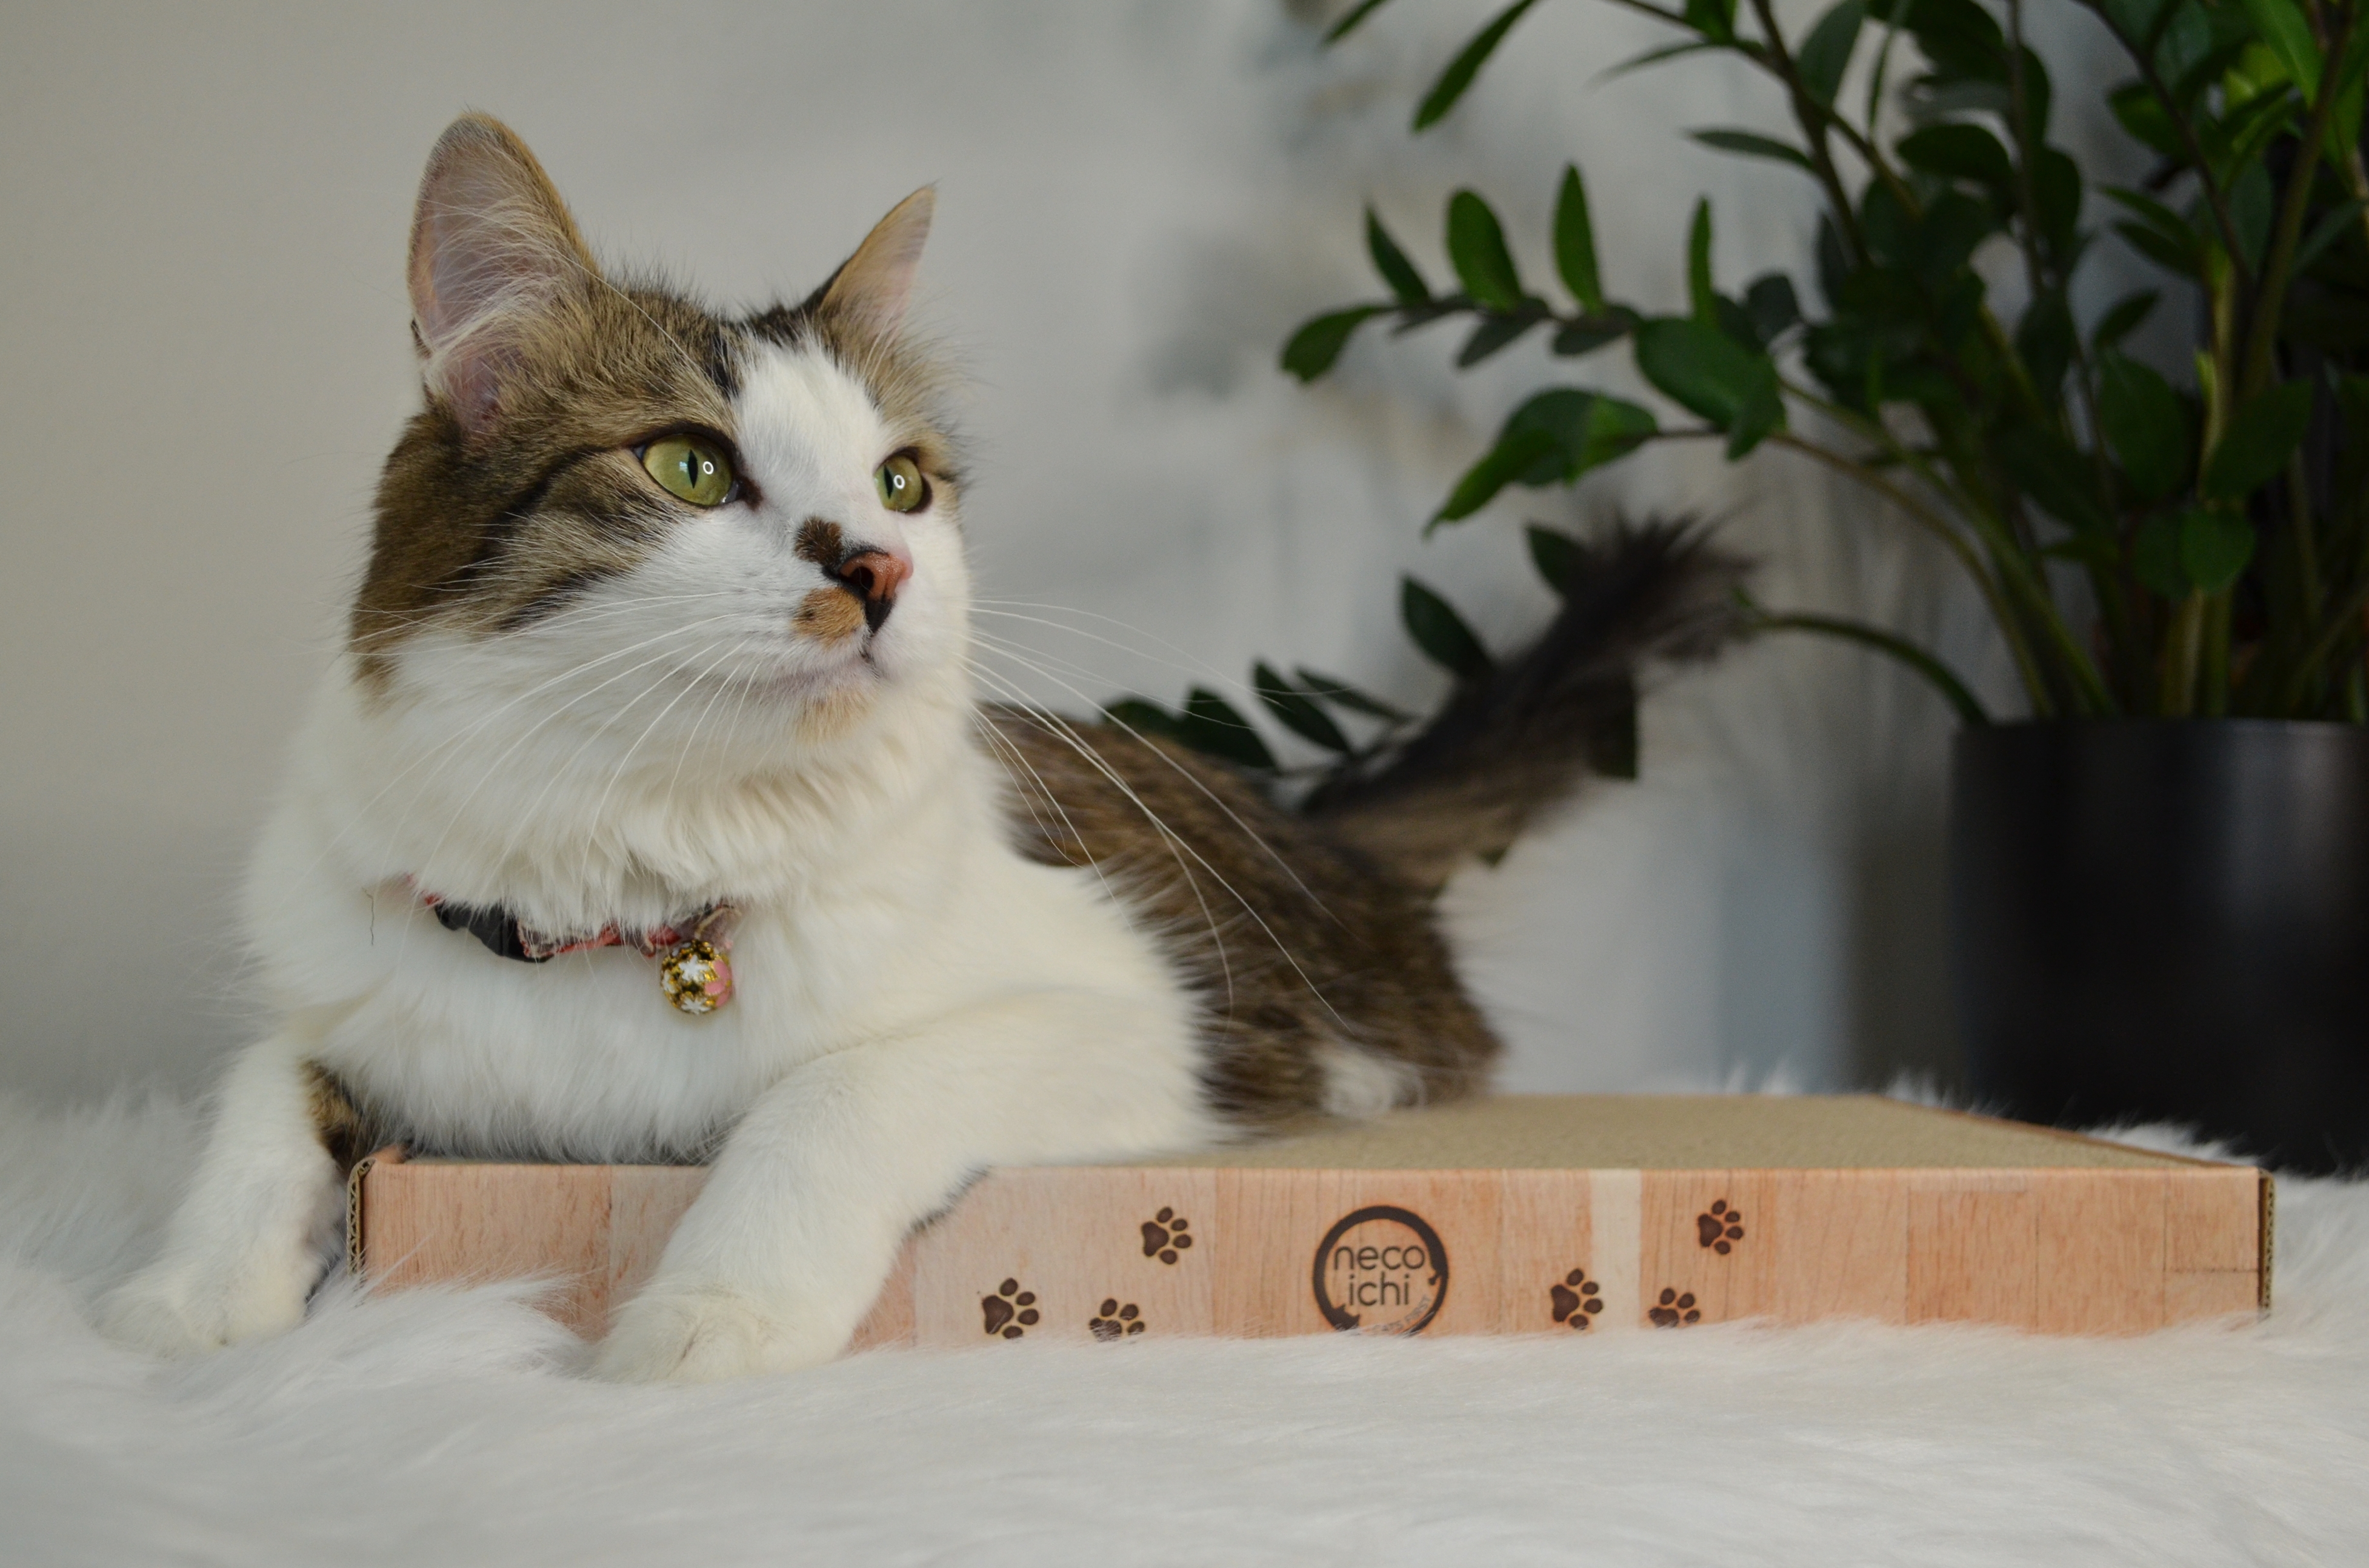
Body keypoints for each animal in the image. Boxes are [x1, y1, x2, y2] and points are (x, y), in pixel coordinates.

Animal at [97, 113, 1744, 1392]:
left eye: (902, 483)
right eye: (688, 465)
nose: (880, 567)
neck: (634, 856)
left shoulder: (1131, 1016)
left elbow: (833, 1090)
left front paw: (706, 1313)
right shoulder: (356, 983)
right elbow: (259, 1087)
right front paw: (184, 1301)